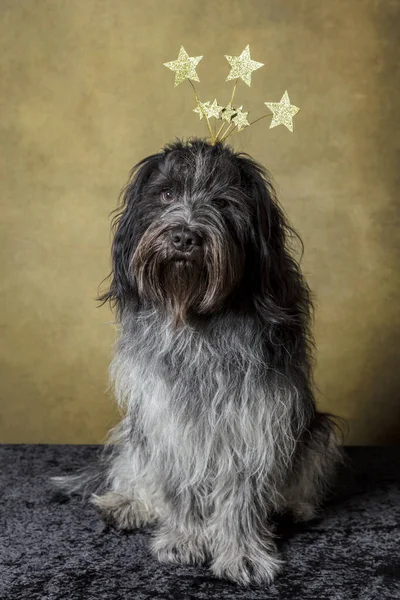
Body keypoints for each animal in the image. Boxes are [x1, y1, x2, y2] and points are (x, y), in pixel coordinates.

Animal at [57, 138, 344, 584]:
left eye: (223, 202)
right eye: (167, 194)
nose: (183, 237)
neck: (194, 315)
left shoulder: (255, 416)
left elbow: (242, 494)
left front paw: (242, 553)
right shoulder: (168, 416)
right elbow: (179, 486)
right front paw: (185, 539)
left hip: (319, 432)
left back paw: (291, 507)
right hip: (137, 429)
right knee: (137, 468)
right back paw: (129, 503)